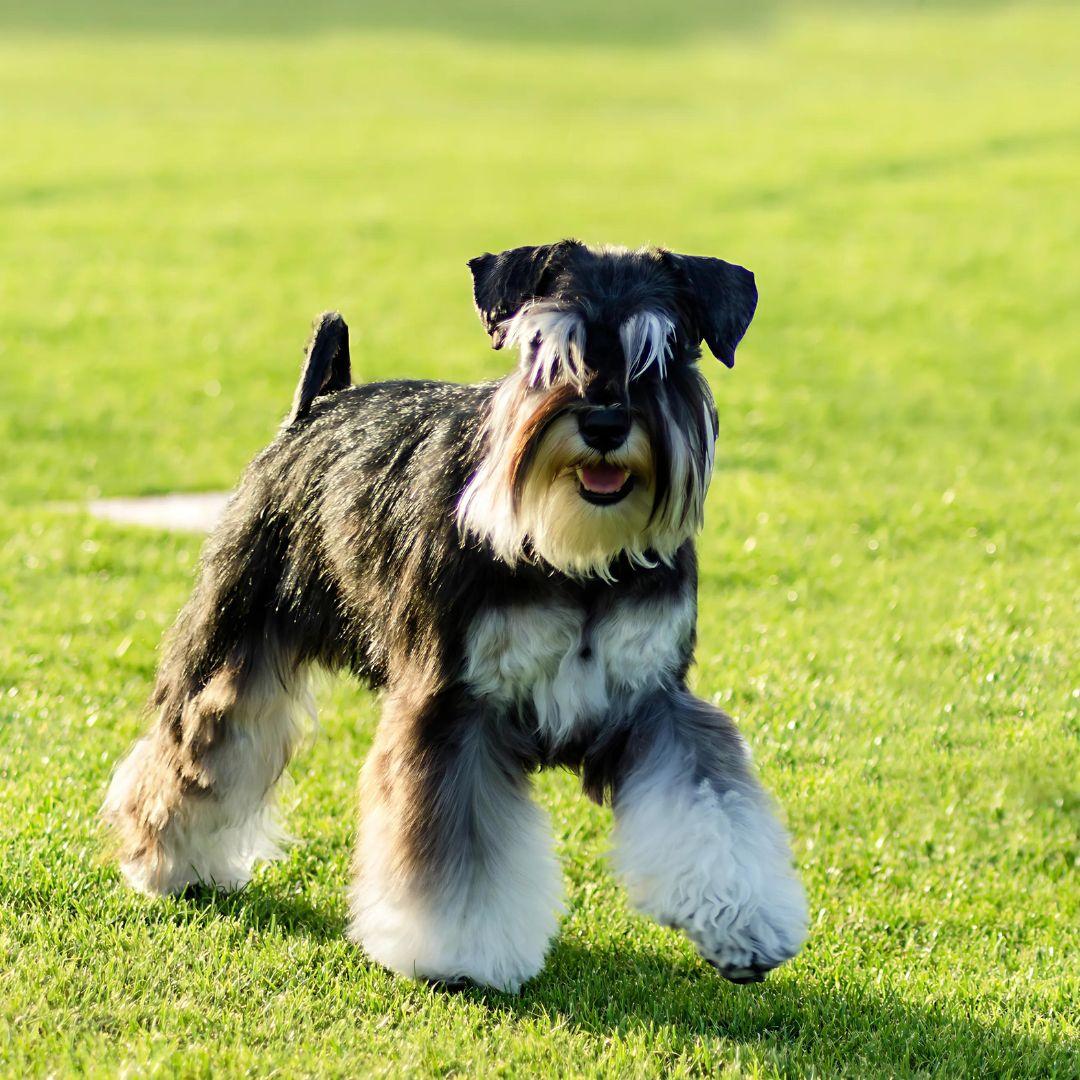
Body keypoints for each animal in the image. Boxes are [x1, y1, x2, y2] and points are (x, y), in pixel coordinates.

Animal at [103, 240, 812, 989]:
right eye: (544, 350)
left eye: (664, 352)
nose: (605, 421)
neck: (577, 555)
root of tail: (316, 408)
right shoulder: (452, 709)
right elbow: (457, 851)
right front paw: (459, 952)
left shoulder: (659, 702)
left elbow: (713, 805)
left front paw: (744, 922)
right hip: (232, 646)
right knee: (195, 751)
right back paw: (166, 863)